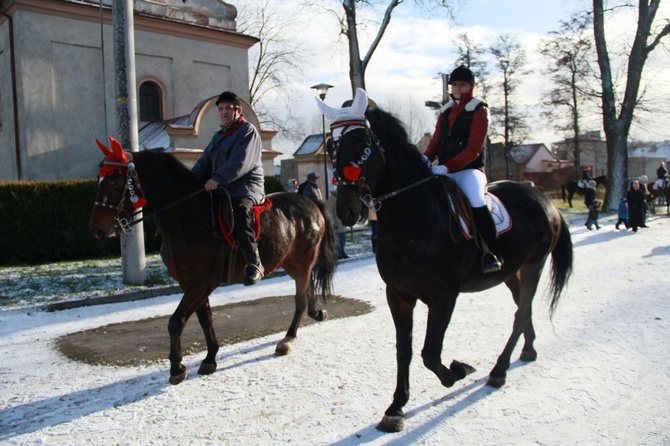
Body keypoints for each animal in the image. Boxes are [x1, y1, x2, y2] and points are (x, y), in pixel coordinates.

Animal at [88, 138, 342, 386]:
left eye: (114, 181)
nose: (97, 230)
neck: (187, 218)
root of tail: (310, 202)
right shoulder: (190, 283)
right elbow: (204, 319)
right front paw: (210, 358)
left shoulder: (202, 282)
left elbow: (176, 321)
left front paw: (177, 368)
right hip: (292, 263)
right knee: (307, 290)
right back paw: (314, 314)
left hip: (302, 263)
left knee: (300, 298)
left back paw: (287, 338)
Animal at [318, 89, 576, 434]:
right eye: (331, 146)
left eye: (361, 143)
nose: (345, 211)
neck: (411, 218)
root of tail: (545, 200)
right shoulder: (398, 295)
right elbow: (404, 350)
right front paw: (396, 407)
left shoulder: (443, 297)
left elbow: (429, 353)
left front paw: (458, 370)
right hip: (512, 272)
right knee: (524, 306)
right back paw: (528, 349)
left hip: (533, 266)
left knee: (521, 312)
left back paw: (499, 369)